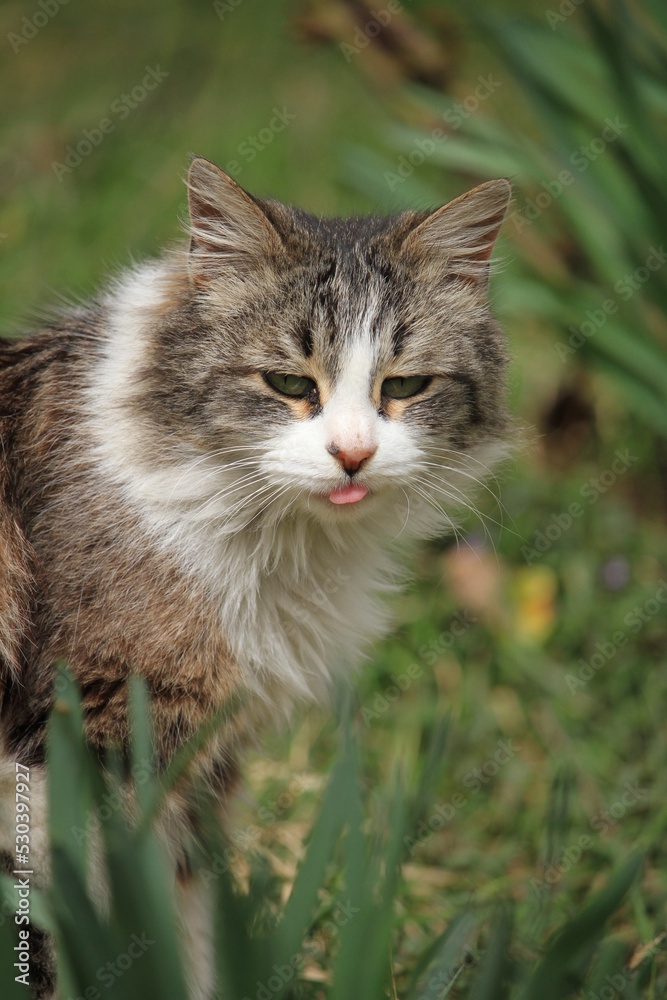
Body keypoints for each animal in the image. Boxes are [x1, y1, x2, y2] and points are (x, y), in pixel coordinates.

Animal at [0, 156, 512, 992]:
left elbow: (186, 925)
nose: (352, 456)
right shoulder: (73, 754)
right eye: (288, 385)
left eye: (404, 388)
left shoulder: (201, 763)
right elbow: (84, 934)